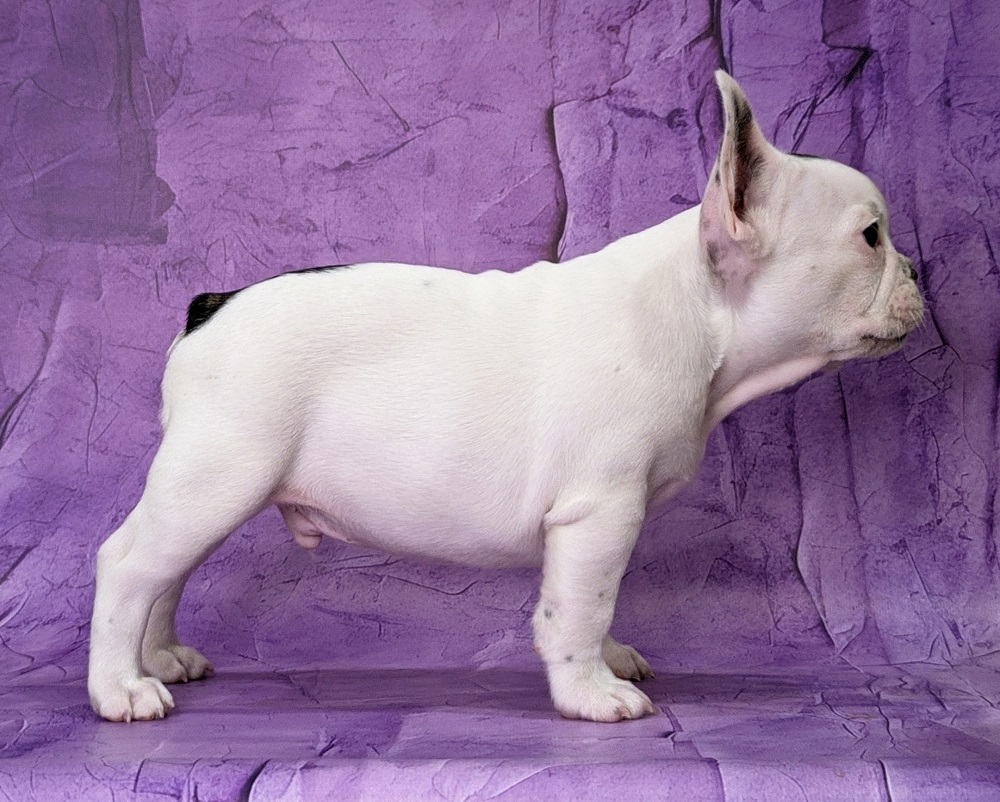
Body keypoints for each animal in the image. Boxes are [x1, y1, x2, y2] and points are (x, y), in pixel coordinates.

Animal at [88, 71, 924, 723]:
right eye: (871, 237)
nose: (918, 273)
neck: (696, 308)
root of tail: (212, 305)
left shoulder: (599, 525)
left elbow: (596, 597)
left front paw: (610, 659)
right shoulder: (599, 510)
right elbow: (580, 605)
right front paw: (592, 694)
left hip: (209, 489)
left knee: (168, 573)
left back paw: (162, 658)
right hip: (220, 475)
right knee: (129, 564)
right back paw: (122, 688)